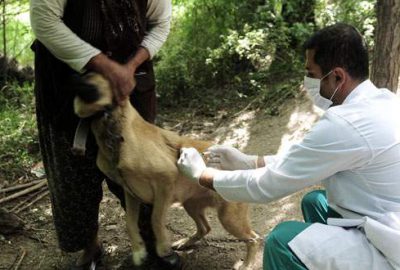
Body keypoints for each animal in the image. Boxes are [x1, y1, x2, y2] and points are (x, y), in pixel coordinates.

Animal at [73, 72, 260, 270]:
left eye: (93, 73)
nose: (75, 74)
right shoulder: (130, 193)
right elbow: (130, 223)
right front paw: (138, 251)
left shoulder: (164, 182)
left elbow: (155, 219)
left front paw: (162, 248)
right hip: (191, 205)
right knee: (205, 228)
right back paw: (185, 242)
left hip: (228, 218)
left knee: (254, 239)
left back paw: (247, 264)